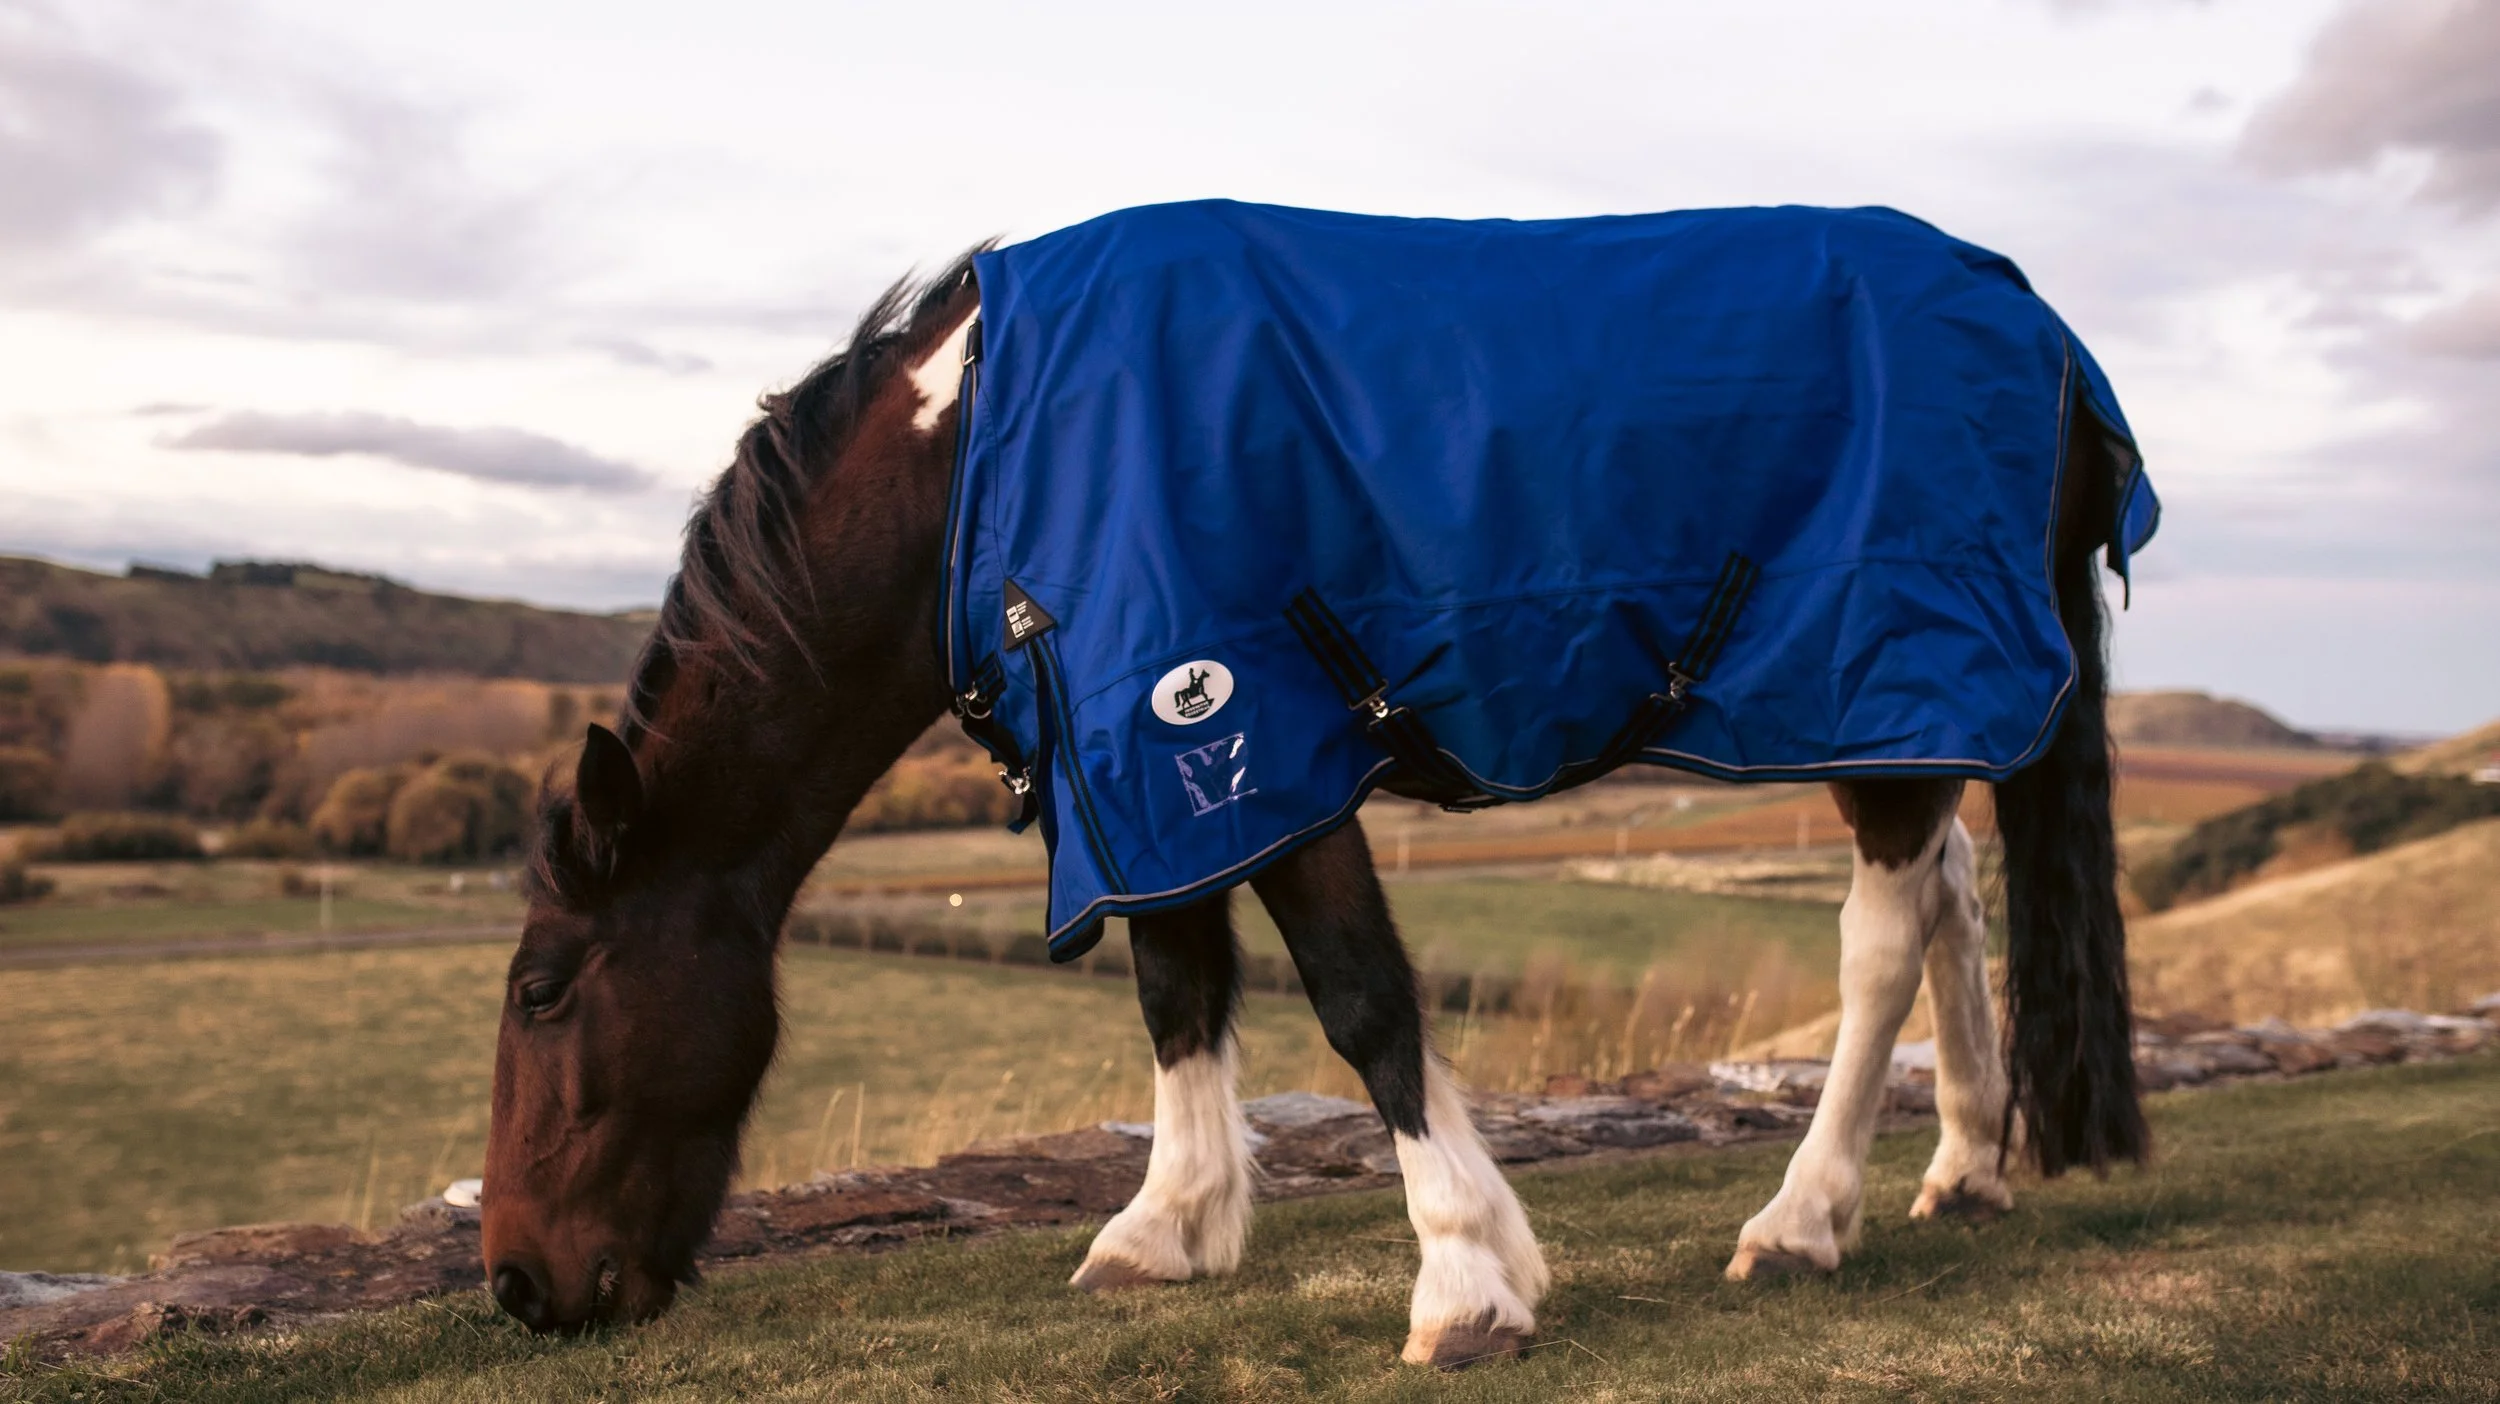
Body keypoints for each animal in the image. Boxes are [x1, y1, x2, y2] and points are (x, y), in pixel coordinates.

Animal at [482, 206, 2150, 1367]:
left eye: (547, 993)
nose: (516, 1285)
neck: (989, 459)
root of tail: (2045, 326)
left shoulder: (1255, 740)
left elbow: (1360, 1000)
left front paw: (1467, 1279)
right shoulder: (1135, 766)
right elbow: (1177, 988)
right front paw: (1168, 1227)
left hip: (1885, 671)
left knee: (1880, 938)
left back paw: (1803, 1220)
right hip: (1899, 707)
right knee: (1949, 898)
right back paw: (1964, 1168)